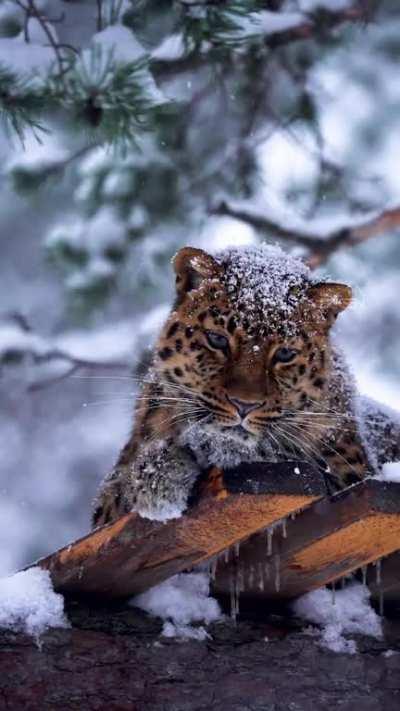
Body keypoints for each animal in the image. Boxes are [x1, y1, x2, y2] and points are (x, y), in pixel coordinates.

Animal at [92, 244, 400, 527]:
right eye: (217, 339)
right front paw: (155, 479)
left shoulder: (352, 471)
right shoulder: (107, 501)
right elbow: (118, 489)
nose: (244, 405)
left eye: (284, 354)